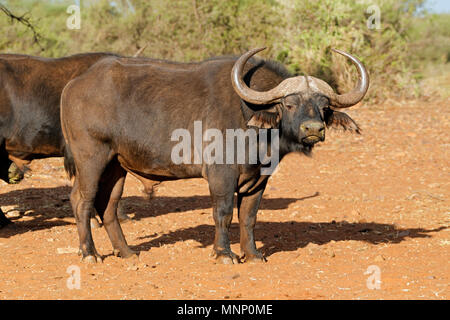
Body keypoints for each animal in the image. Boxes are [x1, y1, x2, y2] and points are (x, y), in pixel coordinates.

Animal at [60, 47, 370, 262]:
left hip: (117, 166)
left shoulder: (258, 180)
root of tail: (73, 85)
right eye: (289, 103)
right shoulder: (222, 174)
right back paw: (90, 253)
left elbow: (248, 216)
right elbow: (223, 213)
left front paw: (252, 254)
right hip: (91, 158)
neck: (251, 118)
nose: (313, 129)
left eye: (325, 107)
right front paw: (224, 253)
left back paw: (126, 252)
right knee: (81, 200)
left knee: (108, 206)